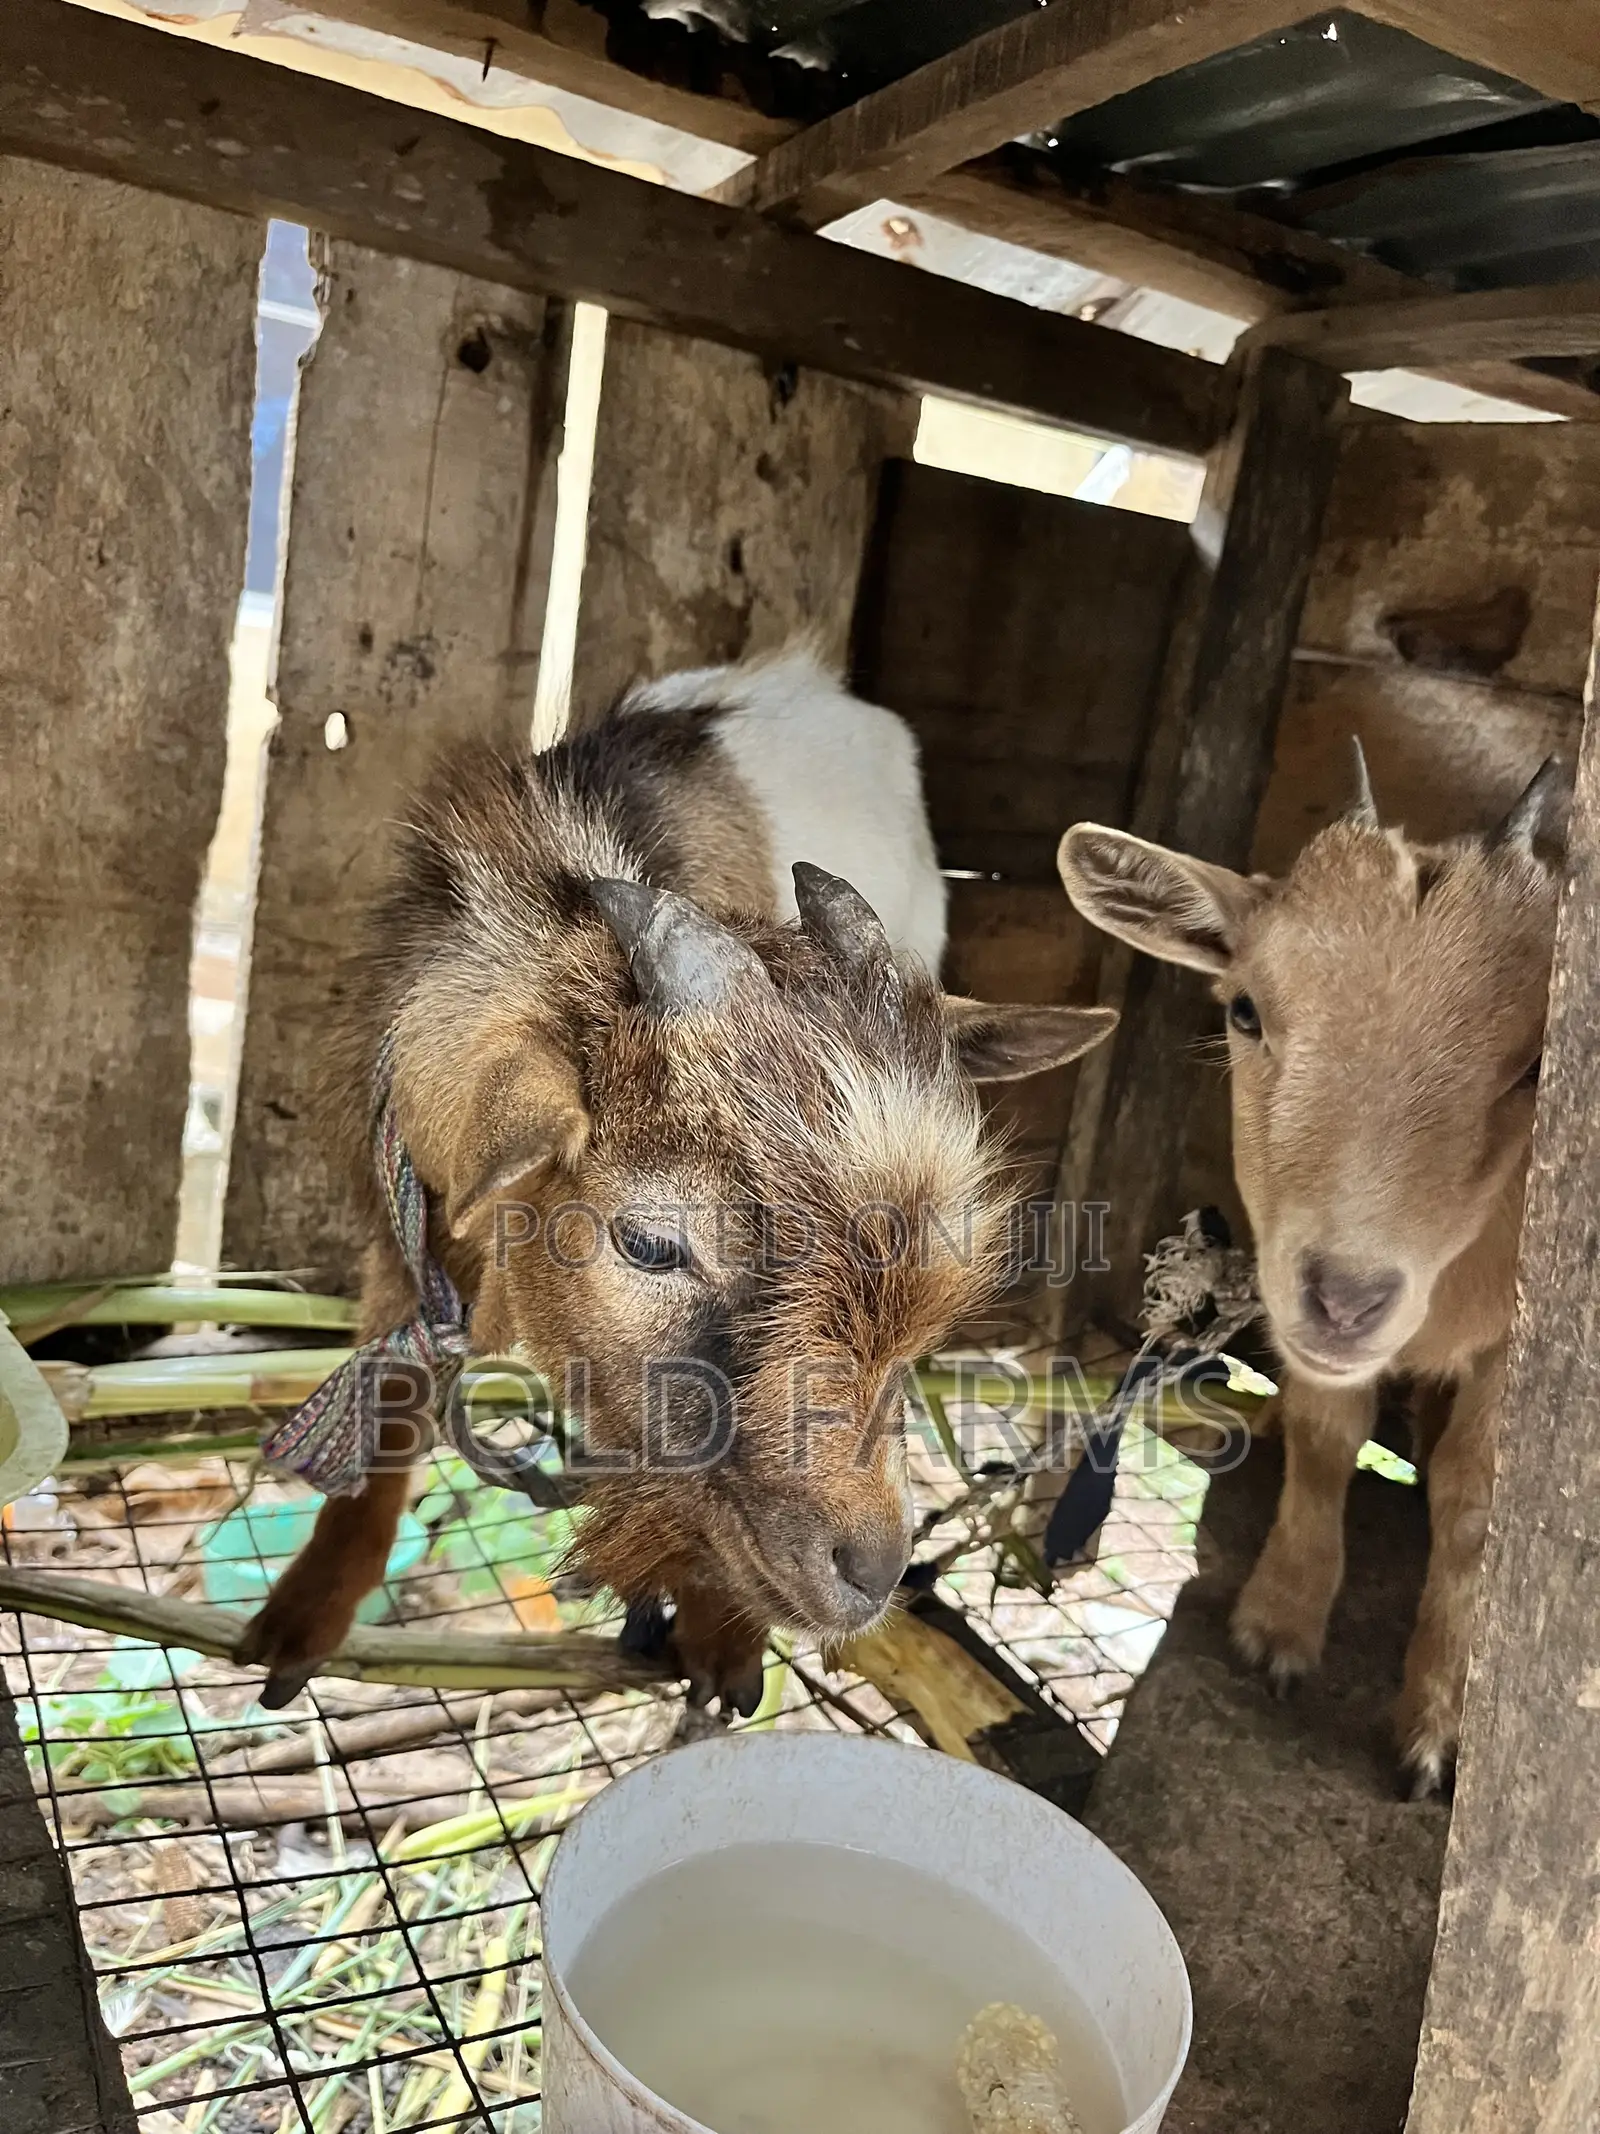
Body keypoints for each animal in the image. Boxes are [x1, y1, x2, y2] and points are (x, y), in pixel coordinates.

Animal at [242, 652, 1116, 1712]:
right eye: (652, 1244)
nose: (874, 1570)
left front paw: (725, 1639)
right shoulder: (409, 1210)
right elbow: (392, 1398)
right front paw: (303, 1618)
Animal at [1057, 753, 1563, 1795]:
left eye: (1535, 1068)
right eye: (1246, 1008)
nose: (1345, 1300)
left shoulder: (1509, 1348)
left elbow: (1473, 1501)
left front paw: (1438, 1724)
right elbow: (1329, 1437)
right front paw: (1278, 1627)